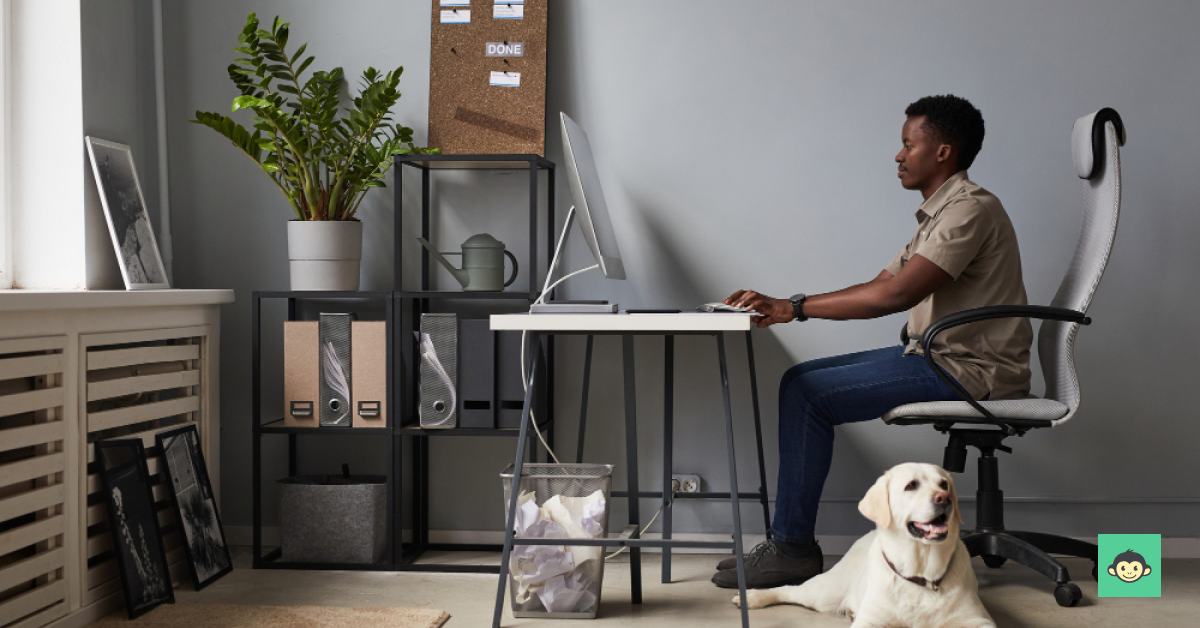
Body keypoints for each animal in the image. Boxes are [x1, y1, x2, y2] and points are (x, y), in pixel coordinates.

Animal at [734, 461, 998, 628]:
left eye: (944, 484)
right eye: (911, 485)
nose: (944, 498)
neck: (922, 575)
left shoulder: (978, 620)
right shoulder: (871, 621)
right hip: (824, 593)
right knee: (790, 589)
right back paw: (753, 597)